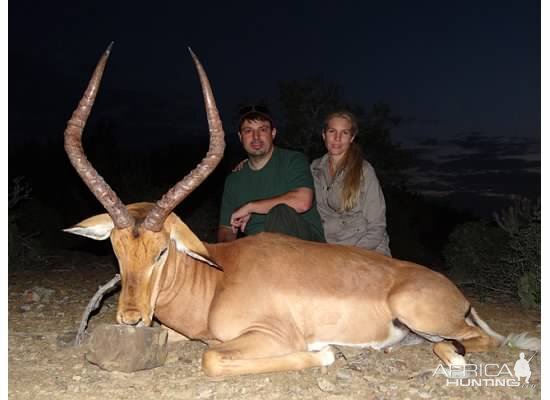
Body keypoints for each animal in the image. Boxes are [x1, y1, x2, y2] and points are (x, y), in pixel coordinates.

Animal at [63, 45, 540, 376]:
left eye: (162, 250)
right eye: (116, 249)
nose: (130, 318)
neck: (217, 278)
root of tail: (456, 292)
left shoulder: (268, 336)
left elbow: (212, 358)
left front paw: (325, 353)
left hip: (423, 314)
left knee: (484, 341)